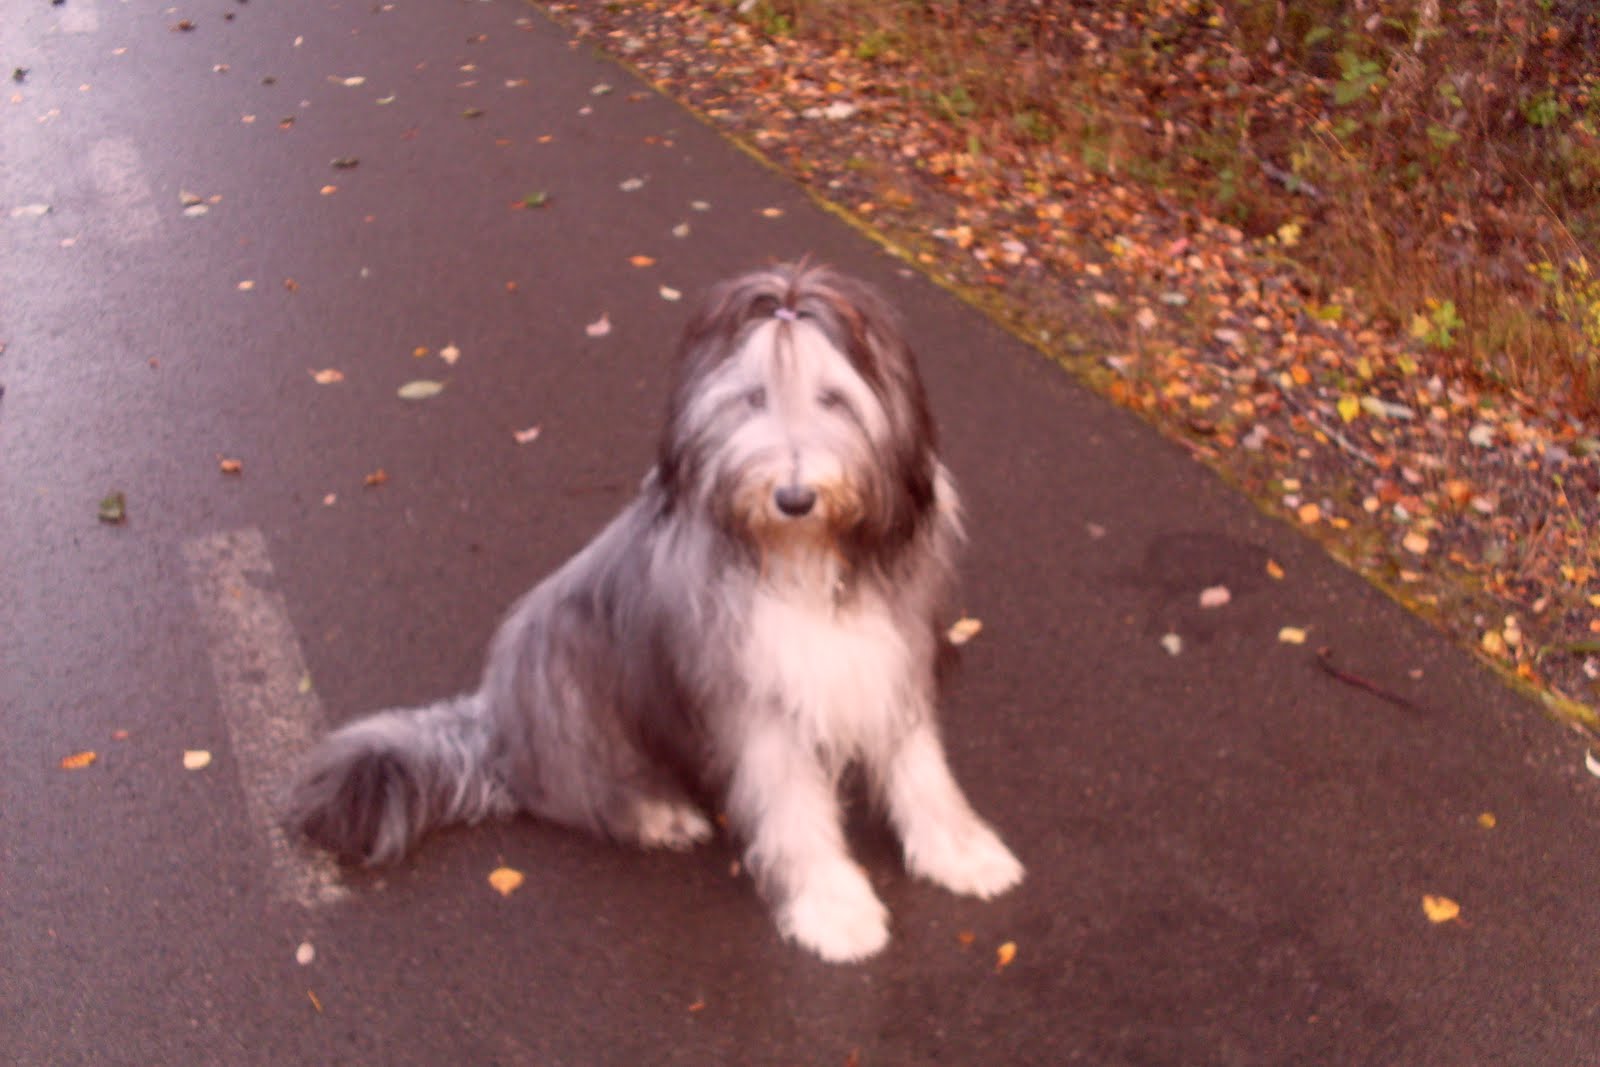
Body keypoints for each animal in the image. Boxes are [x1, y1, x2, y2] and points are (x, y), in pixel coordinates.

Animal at [287, 262, 1023, 962]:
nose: (793, 497)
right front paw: (833, 911)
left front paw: (963, 855)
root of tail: (495, 718)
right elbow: (794, 807)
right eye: (753, 399)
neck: (803, 560)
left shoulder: (889, 659)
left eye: (833, 399)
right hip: (581, 689)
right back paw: (657, 814)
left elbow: (922, 770)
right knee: (581, 795)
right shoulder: (755, 697)